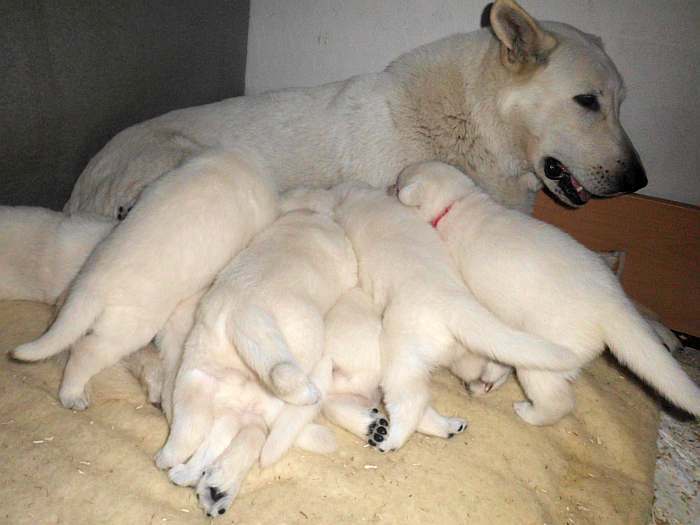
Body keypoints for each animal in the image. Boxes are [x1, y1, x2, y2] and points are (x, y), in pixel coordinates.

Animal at [156, 190, 358, 512]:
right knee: (283, 373)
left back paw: (179, 469)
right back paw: (307, 393)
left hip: (201, 389)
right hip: (301, 339)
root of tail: (239, 310)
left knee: (197, 439)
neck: (306, 218)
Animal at [394, 159, 700, 422]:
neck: (458, 203)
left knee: (558, 402)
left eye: (397, 185)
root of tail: (613, 303)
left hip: (544, 362)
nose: (390, 188)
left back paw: (527, 412)